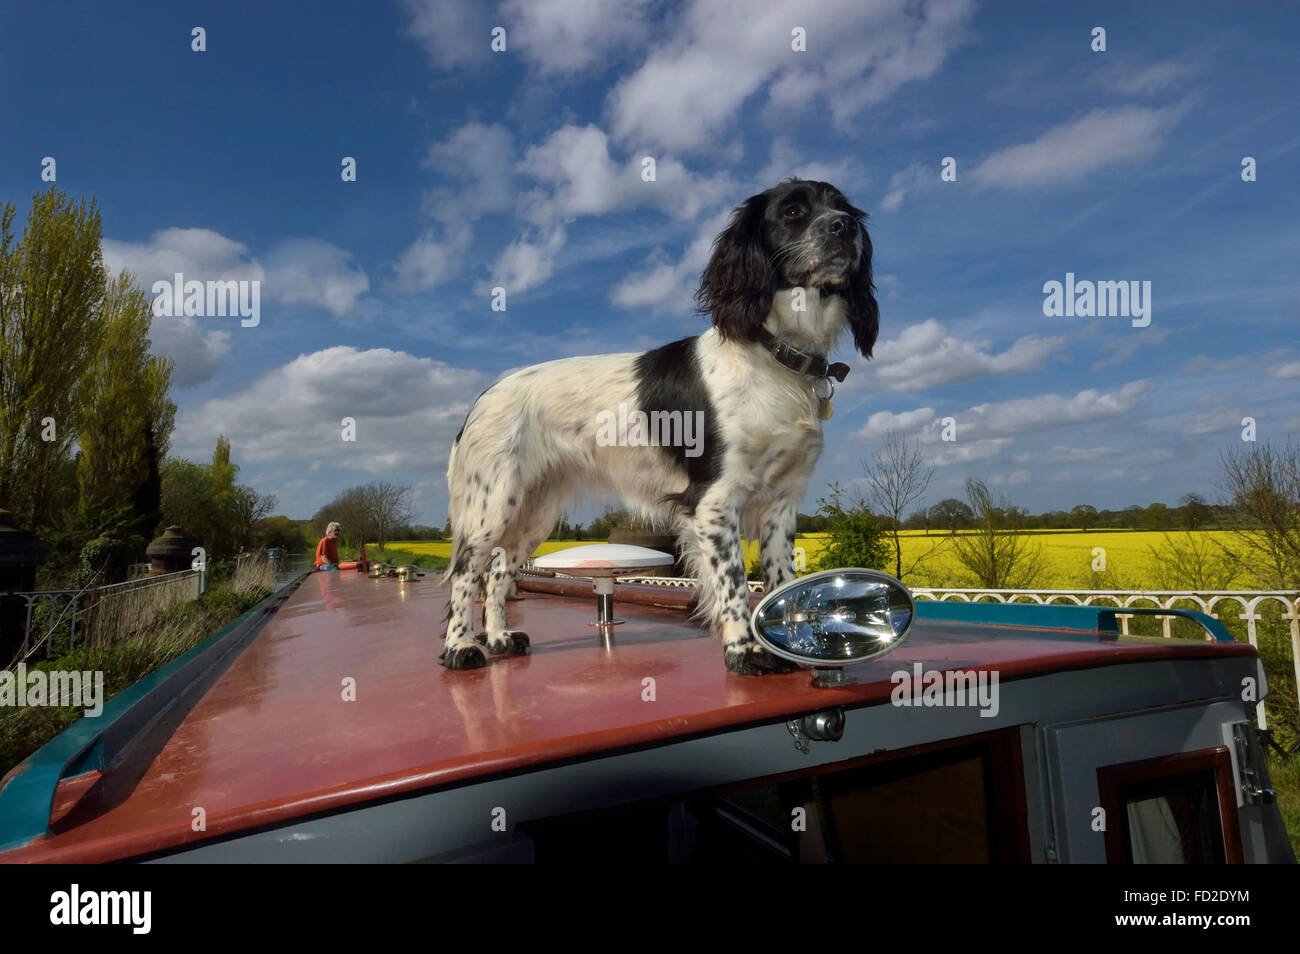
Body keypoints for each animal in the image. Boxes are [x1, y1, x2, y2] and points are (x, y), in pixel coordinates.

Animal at [441, 178, 878, 670]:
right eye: (794, 211)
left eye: (844, 209)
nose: (844, 228)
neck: (776, 355)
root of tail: (484, 396)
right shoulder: (713, 500)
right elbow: (734, 583)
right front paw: (744, 651)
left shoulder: (782, 502)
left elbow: (781, 582)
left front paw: (786, 651)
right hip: (492, 507)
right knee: (465, 574)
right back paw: (459, 647)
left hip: (533, 512)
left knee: (497, 575)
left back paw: (499, 638)